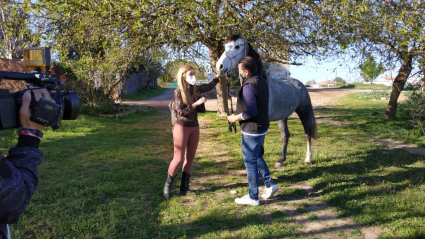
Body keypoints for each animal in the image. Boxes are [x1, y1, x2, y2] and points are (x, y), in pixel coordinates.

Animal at [215, 32, 314, 166]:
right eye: (225, 46)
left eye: (237, 46)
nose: (219, 66)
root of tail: (300, 84)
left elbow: (259, 150)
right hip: (283, 117)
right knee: (285, 135)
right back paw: (280, 160)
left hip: (304, 112)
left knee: (307, 134)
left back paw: (308, 158)